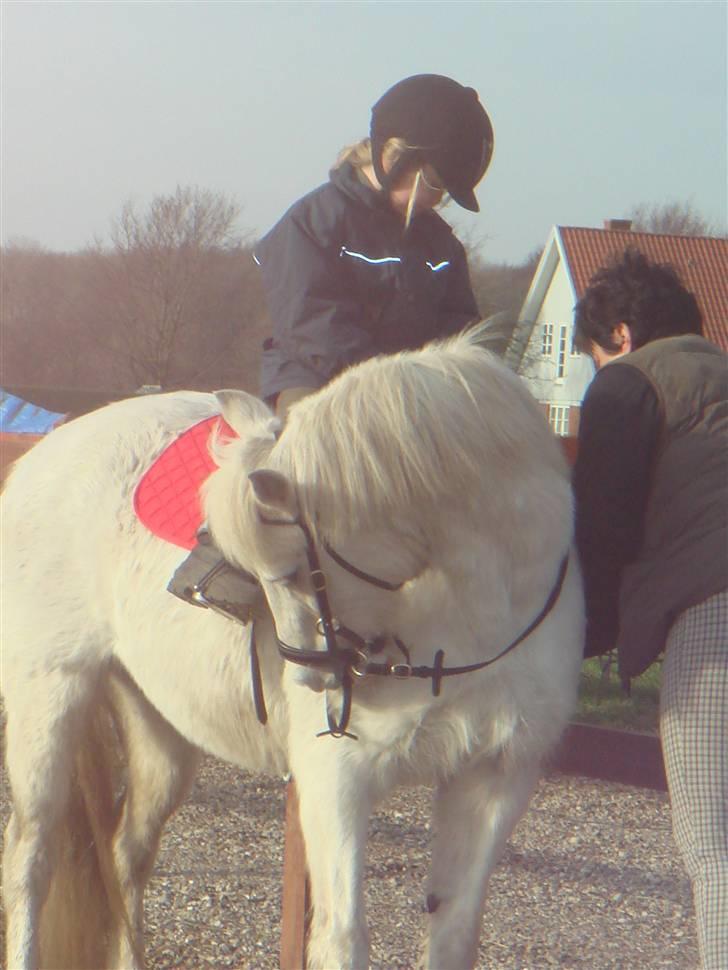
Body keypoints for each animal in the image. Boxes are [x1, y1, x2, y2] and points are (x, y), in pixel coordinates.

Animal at [1, 329, 584, 970]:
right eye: (270, 574)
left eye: (294, 570)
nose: (311, 678)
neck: (474, 620)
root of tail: (43, 453)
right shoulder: (338, 780)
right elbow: (341, 936)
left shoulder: (494, 778)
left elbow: (453, 931)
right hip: (48, 696)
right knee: (31, 859)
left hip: (162, 731)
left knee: (127, 854)